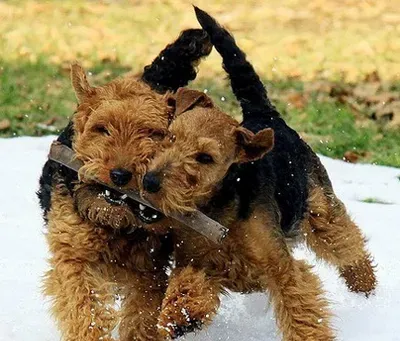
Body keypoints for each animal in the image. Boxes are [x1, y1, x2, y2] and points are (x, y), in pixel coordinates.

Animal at [37, 27, 212, 338]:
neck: (114, 221)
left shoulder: (147, 270)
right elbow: (84, 307)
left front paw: (183, 313)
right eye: (102, 128)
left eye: (152, 133)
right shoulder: (73, 257)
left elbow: (142, 315)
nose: (119, 175)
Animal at [141, 8, 378, 340]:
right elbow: (188, 287)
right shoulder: (198, 262)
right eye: (170, 137)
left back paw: (364, 285)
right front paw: (180, 315)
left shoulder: (282, 267)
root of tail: (263, 114)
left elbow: (301, 312)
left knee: (349, 244)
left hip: (321, 212)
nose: (150, 182)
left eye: (205, 158)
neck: (220, 209)